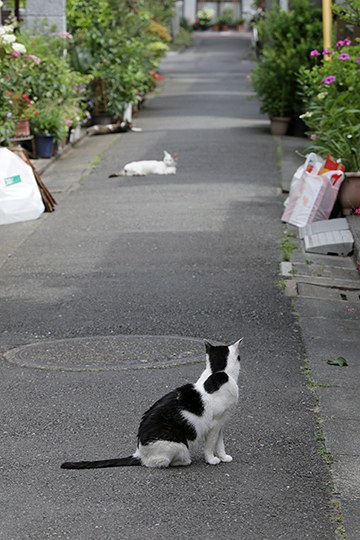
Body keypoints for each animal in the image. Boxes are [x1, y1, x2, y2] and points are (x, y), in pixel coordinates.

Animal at [60, 338, 243, 468]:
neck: (217, 372)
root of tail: (139, 453)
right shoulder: (214, 425)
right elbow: (210, 445)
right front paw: (212, 459)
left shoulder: (221, 423)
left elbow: (220, 443)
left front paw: (223, 457)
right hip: (178, 446)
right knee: (161, 463)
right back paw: (184, 461)